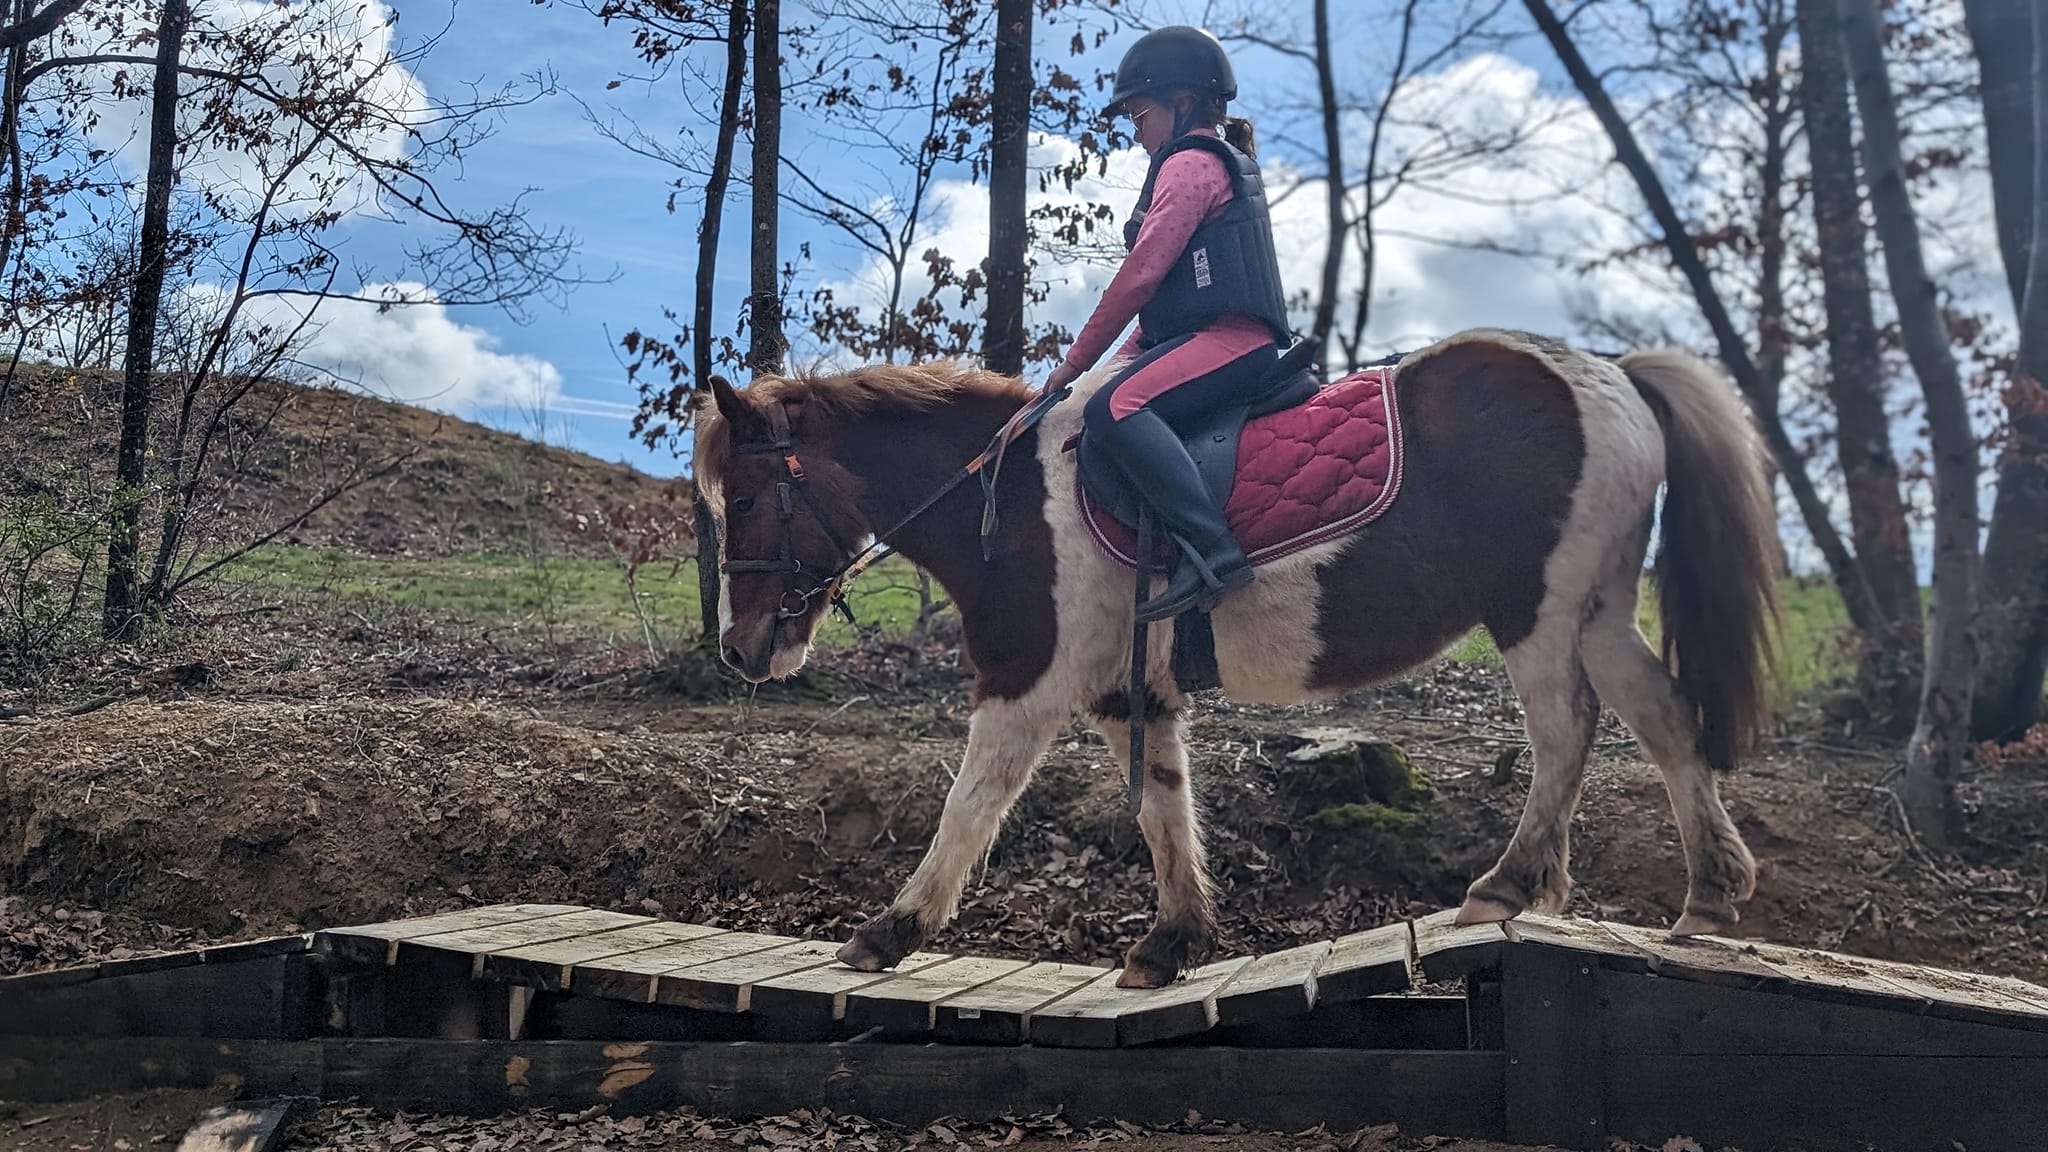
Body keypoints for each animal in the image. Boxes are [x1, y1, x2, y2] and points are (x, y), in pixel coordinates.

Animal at [695, 328, 1778, 989]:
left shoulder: (1025, 684)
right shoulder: (1127, 694)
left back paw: (1510, 885)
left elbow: (970, 808)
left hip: (1537, 610)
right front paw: (1173, 940)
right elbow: (1162, 808)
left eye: (741, 498)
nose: (740, 650)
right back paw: (1710, 894)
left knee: (1564, 733)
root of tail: (1611, 370)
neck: (1002, 497)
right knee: (1662, 718)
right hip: (1596, 611)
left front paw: (892, 928)